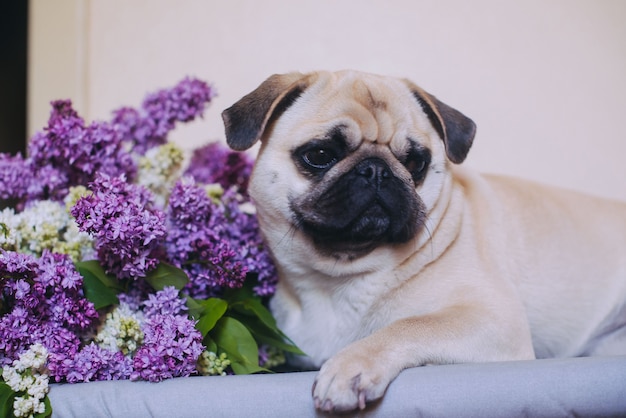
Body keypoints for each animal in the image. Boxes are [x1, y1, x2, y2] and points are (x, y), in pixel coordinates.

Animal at [221, 70, 624, 414]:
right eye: (320, 155)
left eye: (415, 162)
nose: (376, 170)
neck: (339, 274)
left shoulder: (492, 320)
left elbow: (411, 325)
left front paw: (351, 366)